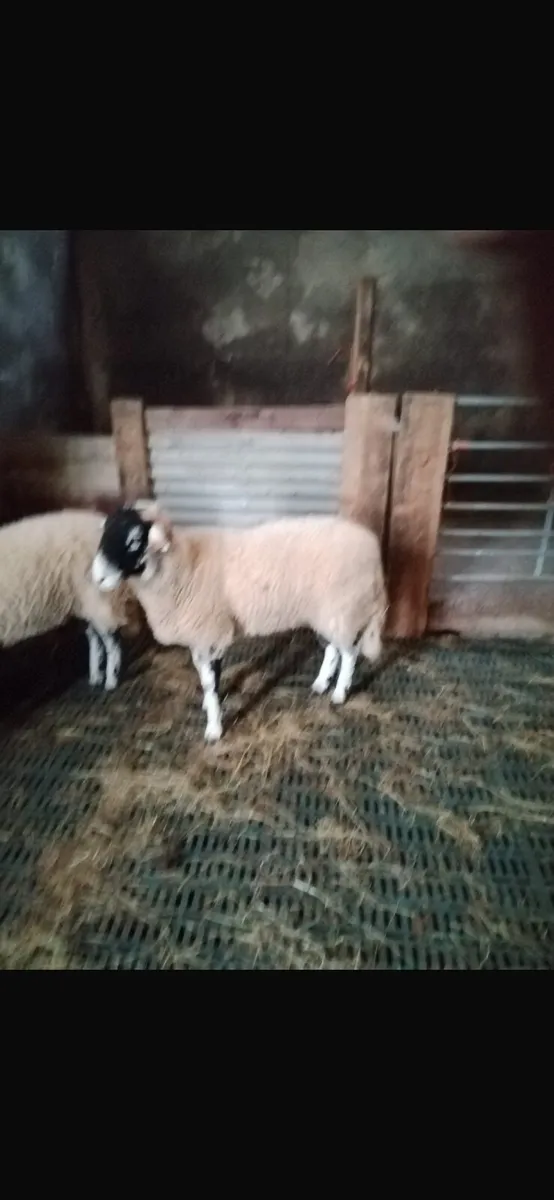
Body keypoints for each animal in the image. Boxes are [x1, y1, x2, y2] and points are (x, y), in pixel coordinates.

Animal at [0, 509, 138, 690]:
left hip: (98, 596)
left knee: (111, 641)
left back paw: (110, 681)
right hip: (87, 601)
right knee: (94, 636)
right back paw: (95, 676)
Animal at [92, 502, 387, 743]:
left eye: (134, 540)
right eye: (104, 534)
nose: (97, 578)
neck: (182, 567)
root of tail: (371, 544)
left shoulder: (209, 632)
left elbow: (210, 683)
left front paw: (214, 729)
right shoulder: (203, 636)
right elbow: (208, 679)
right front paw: (210, 706)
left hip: (344, 607)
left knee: (350, 652)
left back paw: (339, 693)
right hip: (327, 612)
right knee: (334, 648)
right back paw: (321, 683)